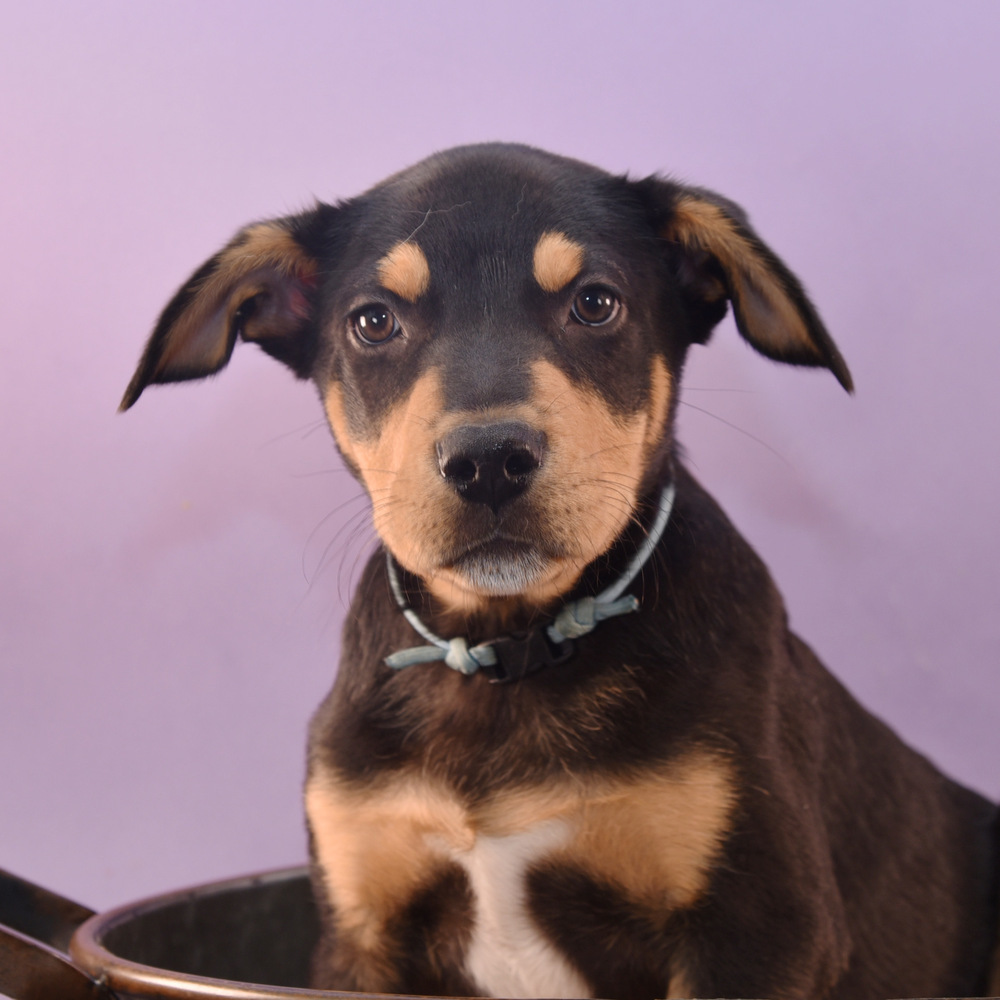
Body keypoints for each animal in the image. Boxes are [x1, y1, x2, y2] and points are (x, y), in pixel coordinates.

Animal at [121, 143, 996, 1000]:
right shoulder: (364, 924)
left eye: (595, 303)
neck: (509, 653)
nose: (487, 461)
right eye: (374, 321)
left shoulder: (759, 926)